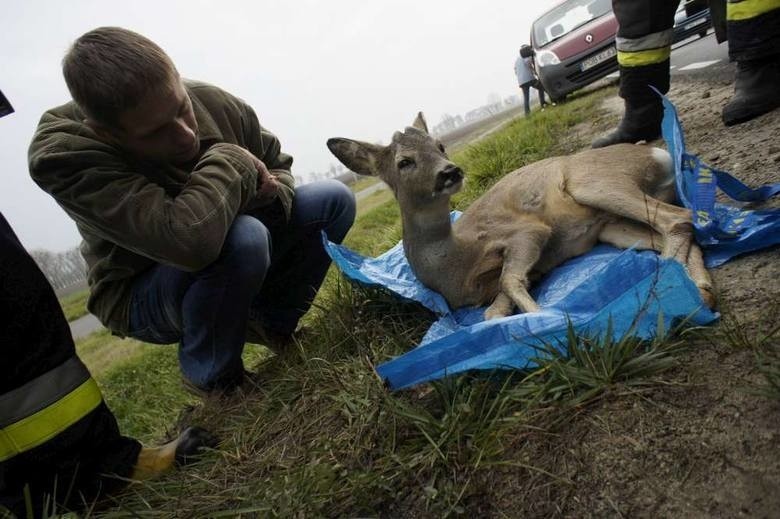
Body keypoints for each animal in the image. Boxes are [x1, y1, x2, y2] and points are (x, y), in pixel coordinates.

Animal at [326, 114, 716, 320]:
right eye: (404, 161)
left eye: (440, 146)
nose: (450, 171)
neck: (454, 264)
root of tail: (659, 153)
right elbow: (493, 310)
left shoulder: (526, 232)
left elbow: (510, 280)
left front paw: (547, 318)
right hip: (610, 226)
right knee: (673, 228)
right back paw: (701, 288)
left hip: (595, 183)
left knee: (679, 217)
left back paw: (668, 286)